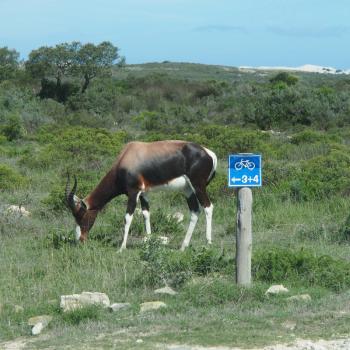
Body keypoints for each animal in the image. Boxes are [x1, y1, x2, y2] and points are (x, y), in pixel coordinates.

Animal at [63, 139, 216, 252]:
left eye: (80, 215)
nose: (80, 240)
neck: (128, 154)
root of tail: (209, 153)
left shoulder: (133, 192)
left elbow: (127, 218)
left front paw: (122, 248)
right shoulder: (143, 194)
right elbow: (146, 214)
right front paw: (149, 243)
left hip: (198, 186)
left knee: (208, 207)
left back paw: (208, 243)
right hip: (187, 190)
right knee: (195, 211)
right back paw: (183, 246)